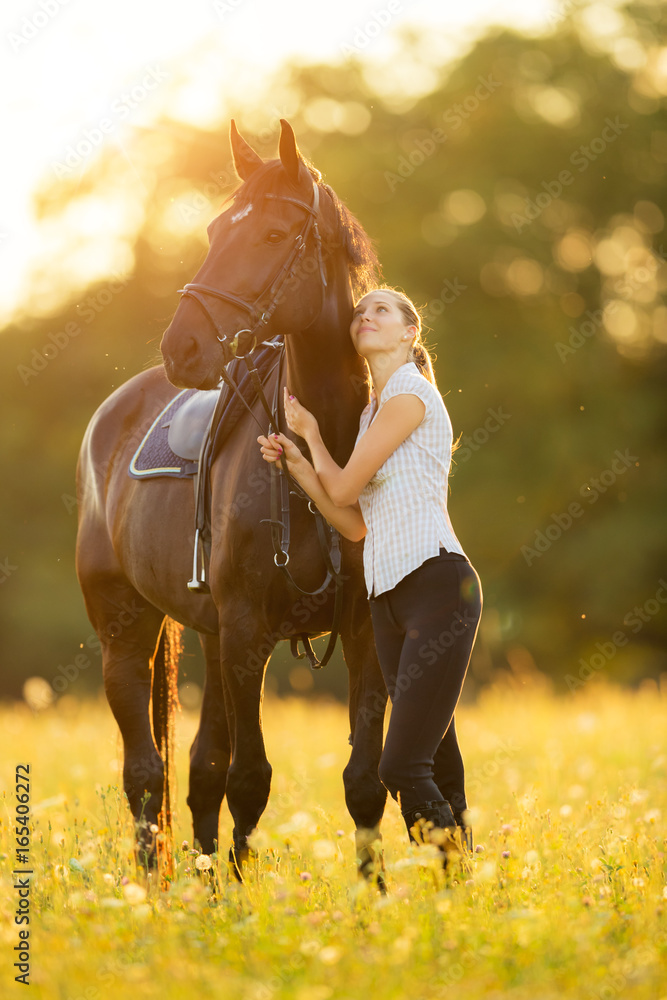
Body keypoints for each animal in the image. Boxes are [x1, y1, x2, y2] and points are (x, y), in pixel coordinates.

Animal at [77, 119, 392, 884]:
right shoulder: (249, 630)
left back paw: (201, 887)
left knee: (196, 770)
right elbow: (250, 778)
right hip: (126, 630)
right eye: (216, 229)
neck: (326, 444)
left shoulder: (358, 629)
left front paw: (377, 902)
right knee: (146, 773)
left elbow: (362, 782)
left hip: (213, 635)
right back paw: (152, 893)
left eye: (275, 234)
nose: (182, 346)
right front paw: (246, 905)